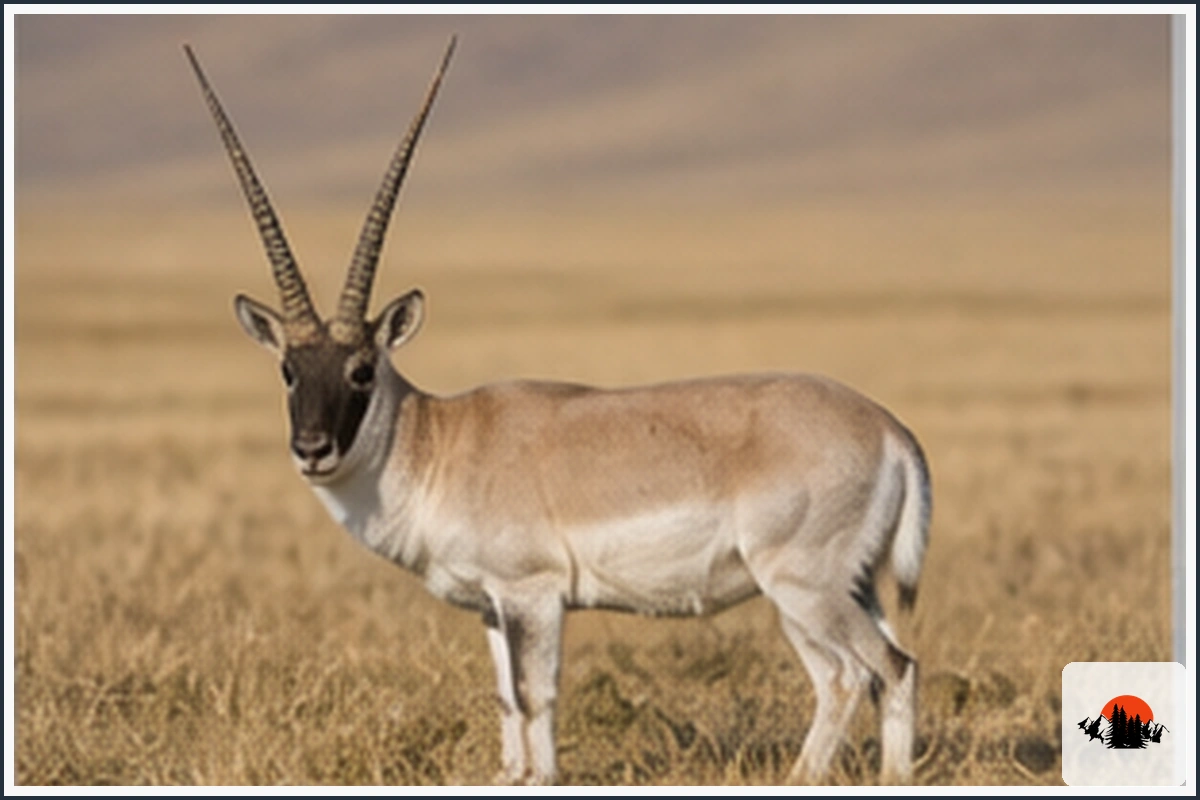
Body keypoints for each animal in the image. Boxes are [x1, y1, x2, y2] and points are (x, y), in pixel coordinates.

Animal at [185, 37, 932, 786]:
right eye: (288, 370)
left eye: (361, 370)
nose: (313, 448)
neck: (437, 441)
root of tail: (888, 430)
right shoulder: (492, 607)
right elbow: (505, 699)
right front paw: (510, 774)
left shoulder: (531, 594)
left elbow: (534, 694)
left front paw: (540, 775)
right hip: (841, 588)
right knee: (875, 670)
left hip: (802, 586)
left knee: (869, 669)